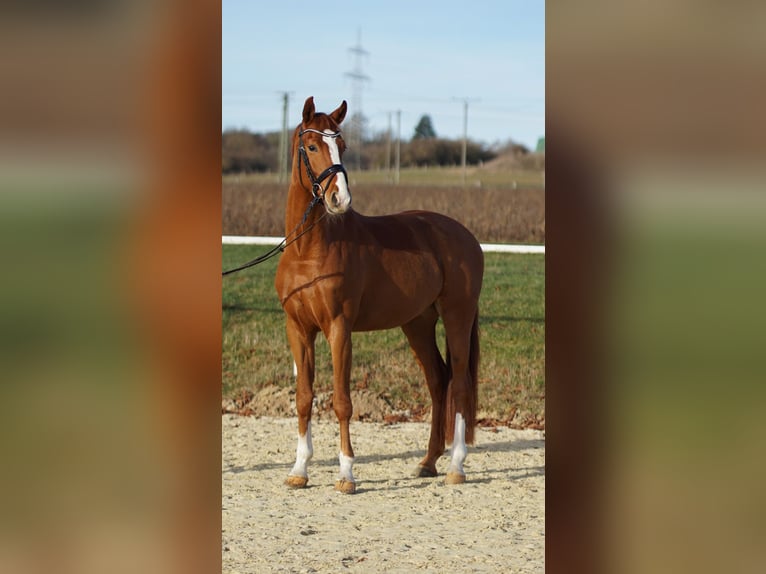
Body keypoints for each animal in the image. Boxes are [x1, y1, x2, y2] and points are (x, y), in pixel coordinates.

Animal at [274, 97, 484, 493]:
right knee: (439, 381)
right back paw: (428, 462)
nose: (339, 199)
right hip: (417, 324)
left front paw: (346, 474)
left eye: (342, 145)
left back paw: (456, 466)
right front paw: (299, 470)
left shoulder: (339, 329)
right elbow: (304, 398)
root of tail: (465, 236)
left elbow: (342, 401)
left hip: (457, 316)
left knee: (461, 383)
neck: (309, 251)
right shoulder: (298, 329)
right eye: (312, 146)